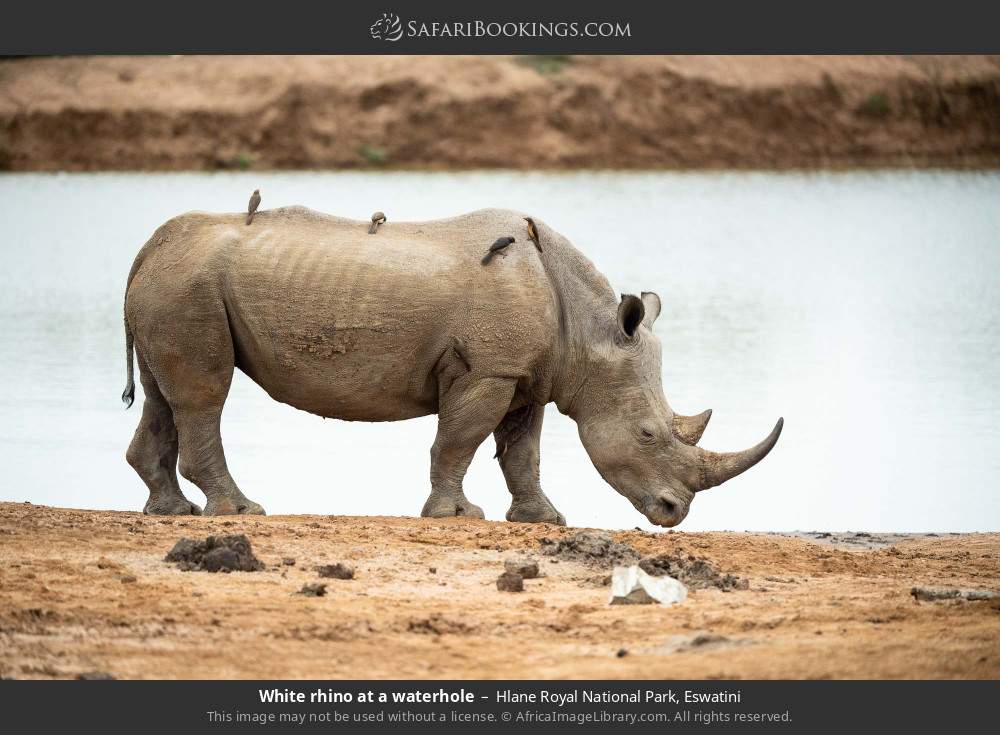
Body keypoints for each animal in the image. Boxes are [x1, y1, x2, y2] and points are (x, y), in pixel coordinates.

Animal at [122, 207, 781, 526]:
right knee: (205, 394)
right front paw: (457, 516)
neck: (588, 330)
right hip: (190, 287)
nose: (674, 514)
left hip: (175, 284)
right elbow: (460, 439)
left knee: (163, 395)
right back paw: (242, 511)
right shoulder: (490, 369)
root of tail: (146, 250)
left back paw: (172, 512)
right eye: (647, 434)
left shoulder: (525, 376)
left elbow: (521, 452)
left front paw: (544, 520)